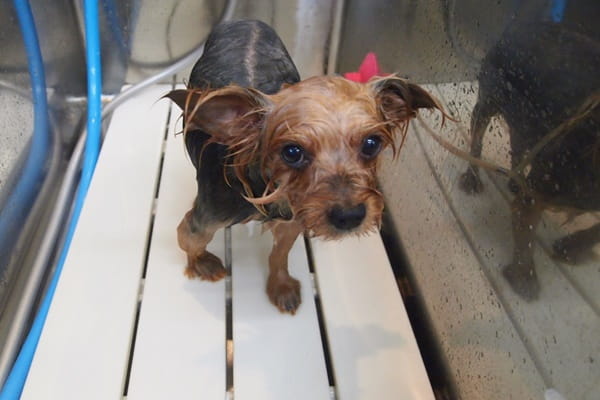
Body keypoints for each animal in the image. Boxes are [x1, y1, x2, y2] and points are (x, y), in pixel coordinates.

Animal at [166, 20, 444, 313]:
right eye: (292, 152)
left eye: (371, 143)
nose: (349, 216)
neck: (268, 188)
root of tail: (245, 21)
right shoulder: (206, 219)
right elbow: (188, 239)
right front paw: (200, 263)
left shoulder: (294, 219)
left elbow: (279, 254)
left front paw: (281, 286)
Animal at [459, 22, 600, 300]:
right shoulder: (539, 192)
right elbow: (526, 229)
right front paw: (525, 276)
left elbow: (595, 231)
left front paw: (573, 246)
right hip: (492, 97)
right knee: (478, 139)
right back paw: (472, 177)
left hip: (526, 118)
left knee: (518, 146)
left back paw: (515, 181)